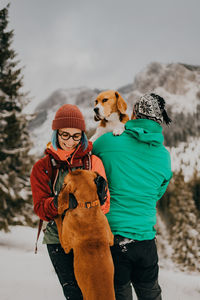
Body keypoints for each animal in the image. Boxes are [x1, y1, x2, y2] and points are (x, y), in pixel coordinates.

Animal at [54, 170, 115, 298]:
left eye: (64, 184)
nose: (56, 197)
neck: (88, 206)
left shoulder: (65, 245)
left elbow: (59, 222)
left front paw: (57, 214)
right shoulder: (111, 238)